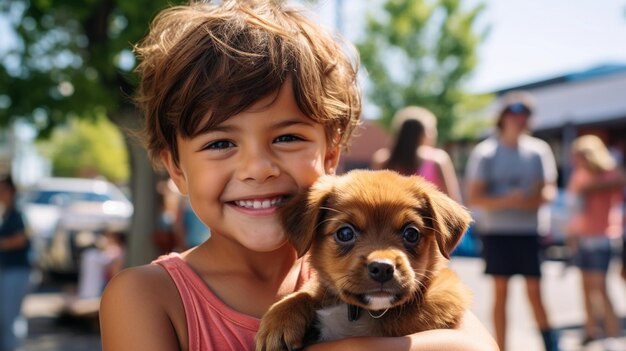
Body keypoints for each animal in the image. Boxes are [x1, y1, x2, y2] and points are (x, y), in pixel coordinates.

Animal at [256, 169, 470, 350]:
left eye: (411, 234)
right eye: (345, 233)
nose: (382, 268)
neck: (365, 312)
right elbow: (305, 293)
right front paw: (278, 321)